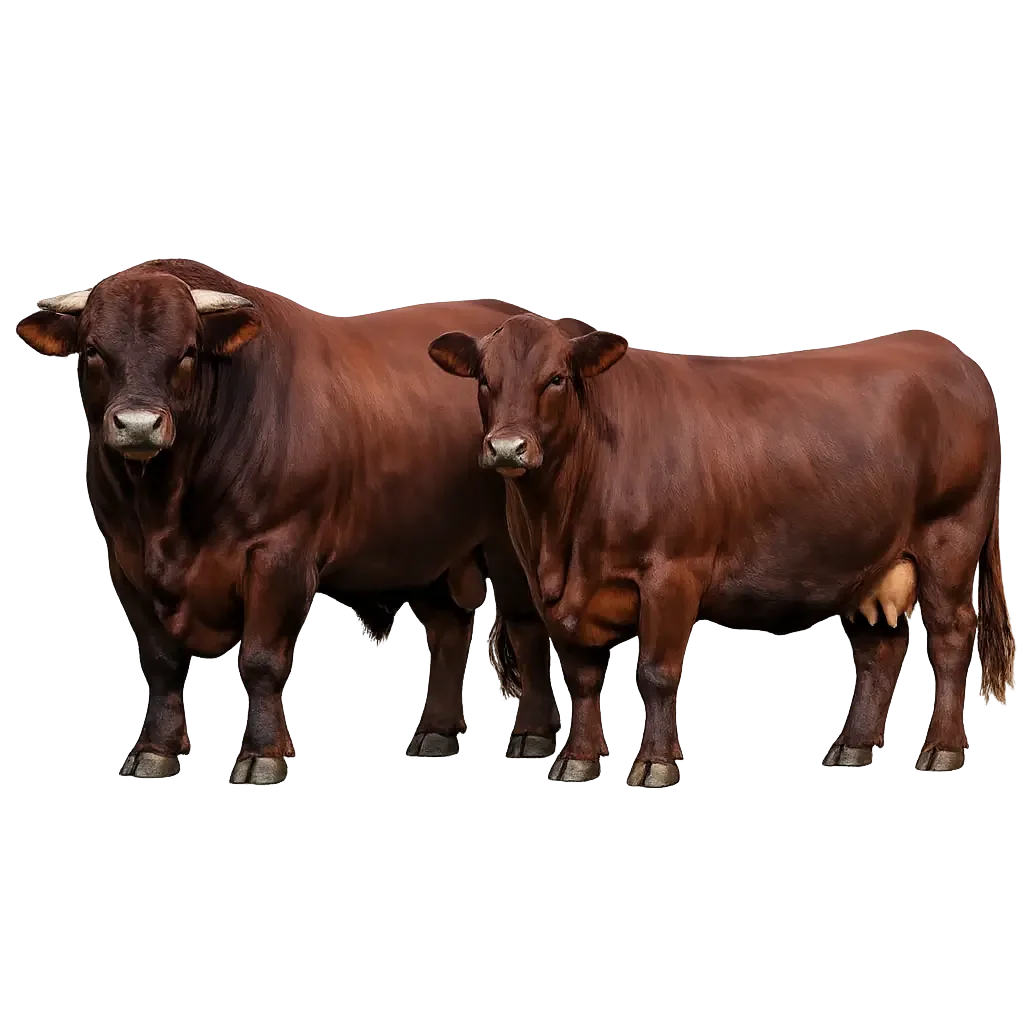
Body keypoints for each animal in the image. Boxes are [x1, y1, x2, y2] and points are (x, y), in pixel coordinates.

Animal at [16, 261, 561, 784]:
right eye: (92, 350)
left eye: (188, 351)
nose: (137, 424)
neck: (165, 512)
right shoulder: (125, 559)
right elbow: (161, 659)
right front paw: (155, 751)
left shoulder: (280, 554)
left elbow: (261, 660)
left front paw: (262, 755)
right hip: (427, 548)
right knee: (448, 630)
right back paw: (435, 735)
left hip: (510, 548)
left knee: (527, 628)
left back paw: (532, 736)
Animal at [427, 314, 1016, 786]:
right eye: (485, 380)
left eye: (556, 379)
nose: (507, 448)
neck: (561, 537)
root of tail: (944, 348)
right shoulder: (552, 593)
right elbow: (582, 676)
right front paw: (577, 760)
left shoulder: (672, 573)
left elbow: (656, 673)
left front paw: (655, 764)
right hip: (870, 560)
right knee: (878, 650)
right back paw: (851, 748)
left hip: (951, 539)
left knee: (949, 641)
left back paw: (941, 752)